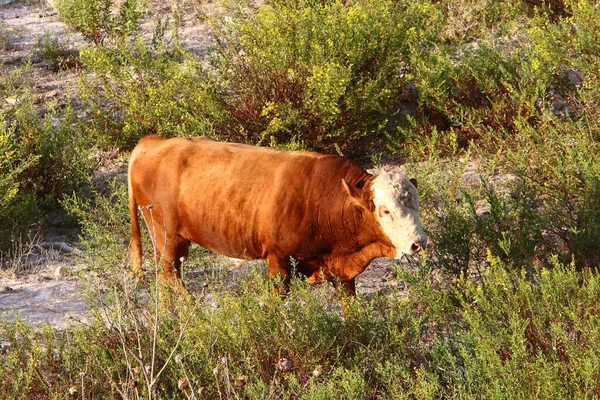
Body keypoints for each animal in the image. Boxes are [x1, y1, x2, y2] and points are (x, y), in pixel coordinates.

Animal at [126, 135, 426, 300]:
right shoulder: (278, 260)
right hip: (167, 238)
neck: (322, 198)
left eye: (417, 204)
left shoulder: (341, 272)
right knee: (169, 277)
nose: (418, 242)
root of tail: (153, 143)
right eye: (385, 210)